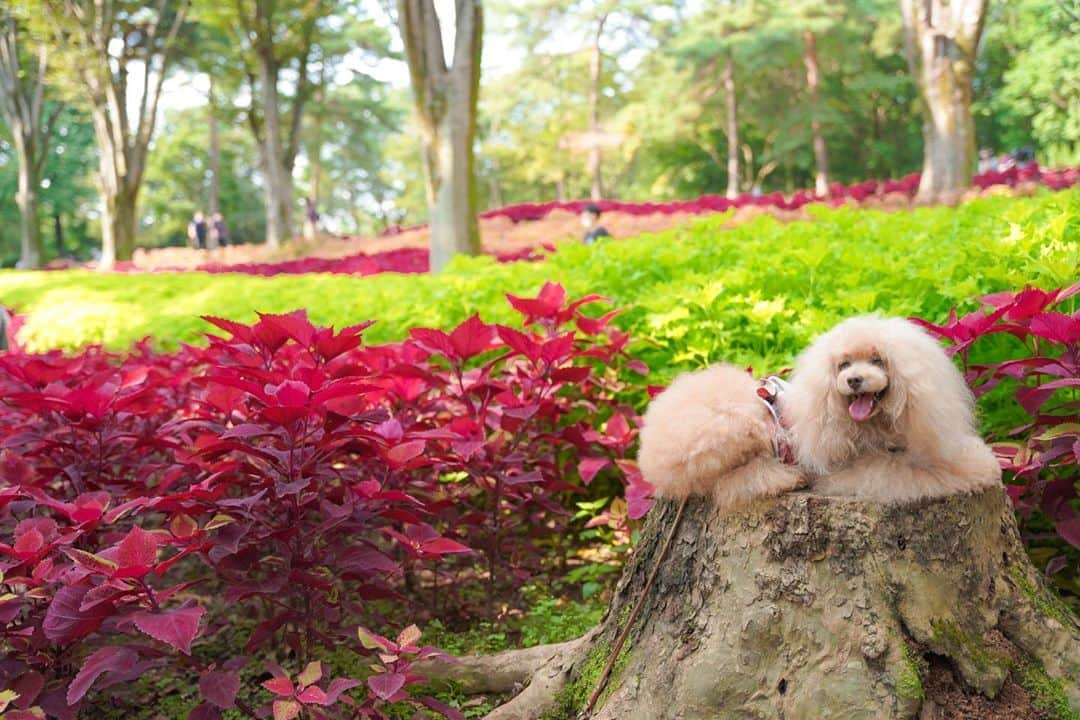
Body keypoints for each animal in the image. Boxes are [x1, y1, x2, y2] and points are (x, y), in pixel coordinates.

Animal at [635, 315, 997, 511]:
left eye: (878, 360)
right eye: (844, 364)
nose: (853, 380)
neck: (875, 425)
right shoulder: (866, 467)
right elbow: (925, 473)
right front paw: (977, 470)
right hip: (729, 424)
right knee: (730, 480)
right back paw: (783, 477)